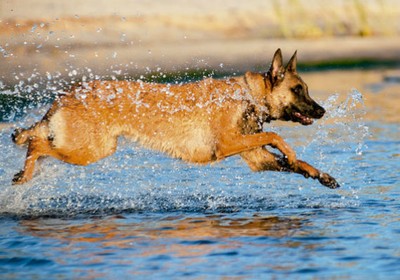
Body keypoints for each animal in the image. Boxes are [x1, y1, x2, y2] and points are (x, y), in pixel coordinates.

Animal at [10, 49, 340, 188]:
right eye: (298, 90)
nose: (322, 111)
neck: (247, 95)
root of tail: (65, 94)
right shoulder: (227, 143)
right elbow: (276, 136)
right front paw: (292, 151)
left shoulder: (256, 157)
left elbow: (291, 160)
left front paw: (319, 174)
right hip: (91, 149)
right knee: (37, 143)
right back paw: (24, 174)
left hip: (84, 146)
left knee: (36, 139)